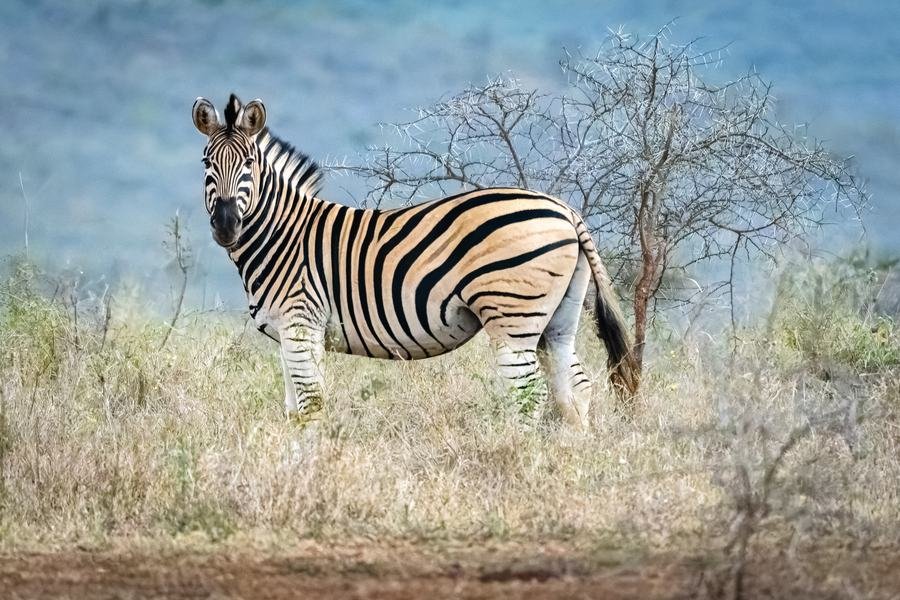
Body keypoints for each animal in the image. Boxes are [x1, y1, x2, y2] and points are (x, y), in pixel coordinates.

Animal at [192, 94, 638, 427]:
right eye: (206, 164)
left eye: (249, 164)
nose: (226, 226)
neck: (282, 234)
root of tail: (565, 209)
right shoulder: (288, 332)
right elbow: (293, 411)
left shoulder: (302, 322)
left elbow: (311, 405)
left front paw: (310, 467)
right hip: (557, 319)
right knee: (574, 388)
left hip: (512, 315)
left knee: (528, 394)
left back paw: (521, 459)